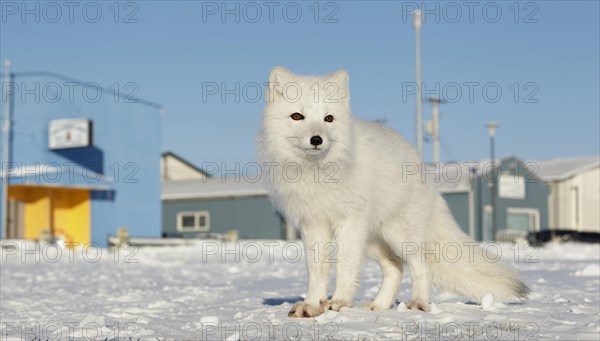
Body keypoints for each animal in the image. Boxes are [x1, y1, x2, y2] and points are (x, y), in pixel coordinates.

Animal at [255, 65, 528, 316]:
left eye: (328, 119)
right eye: (297, 116)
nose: (316, 140)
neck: (318, 172)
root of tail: (420, 167)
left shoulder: (349, 221)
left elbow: (345, 267)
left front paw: (339, 302)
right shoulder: (313, 224)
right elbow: (317, 271)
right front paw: (312, 306)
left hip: (399, 234)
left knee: (421, 267)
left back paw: (417, 304)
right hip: (373, 241)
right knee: (395, 267)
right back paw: (379, 305)